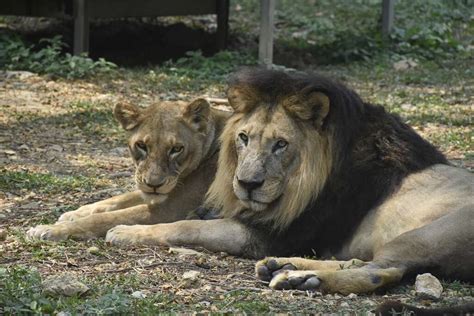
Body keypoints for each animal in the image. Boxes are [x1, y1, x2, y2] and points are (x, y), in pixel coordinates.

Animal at [27, 97, 231, 241]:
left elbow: (107, 218)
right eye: (141, 145)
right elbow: (117, 199)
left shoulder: (172, 209)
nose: (154, 184)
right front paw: (74, 213)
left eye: (176, 149)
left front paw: (49, 229)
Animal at [105, 68, 472, 294]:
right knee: (368, 261)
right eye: (243, 138)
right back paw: (284, 267)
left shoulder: (274, 233)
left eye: (281, 144)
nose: (247, 183)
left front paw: (125, 232)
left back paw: (301, 277)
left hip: (425, 235)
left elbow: (186, 226)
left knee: (382, 271)